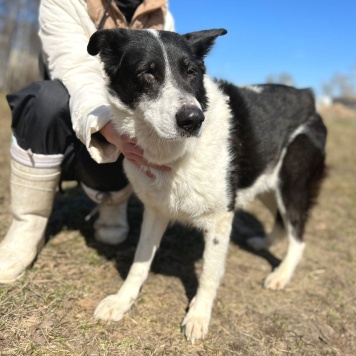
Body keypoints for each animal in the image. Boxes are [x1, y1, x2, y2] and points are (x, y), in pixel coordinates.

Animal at [86, 27, 326, 340]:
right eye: (147, 73)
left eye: (191, 72)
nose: (193, 119)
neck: (174, 151)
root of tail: (307, 95)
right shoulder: (156, 210)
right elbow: (139, 263)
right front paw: (122, 300)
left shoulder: (220, 217)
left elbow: (210, 274)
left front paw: (198, 316)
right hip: (261, 177)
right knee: (279, 218)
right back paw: (264, 241)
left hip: (290, 184)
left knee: (298, 235)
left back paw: (281, 274)